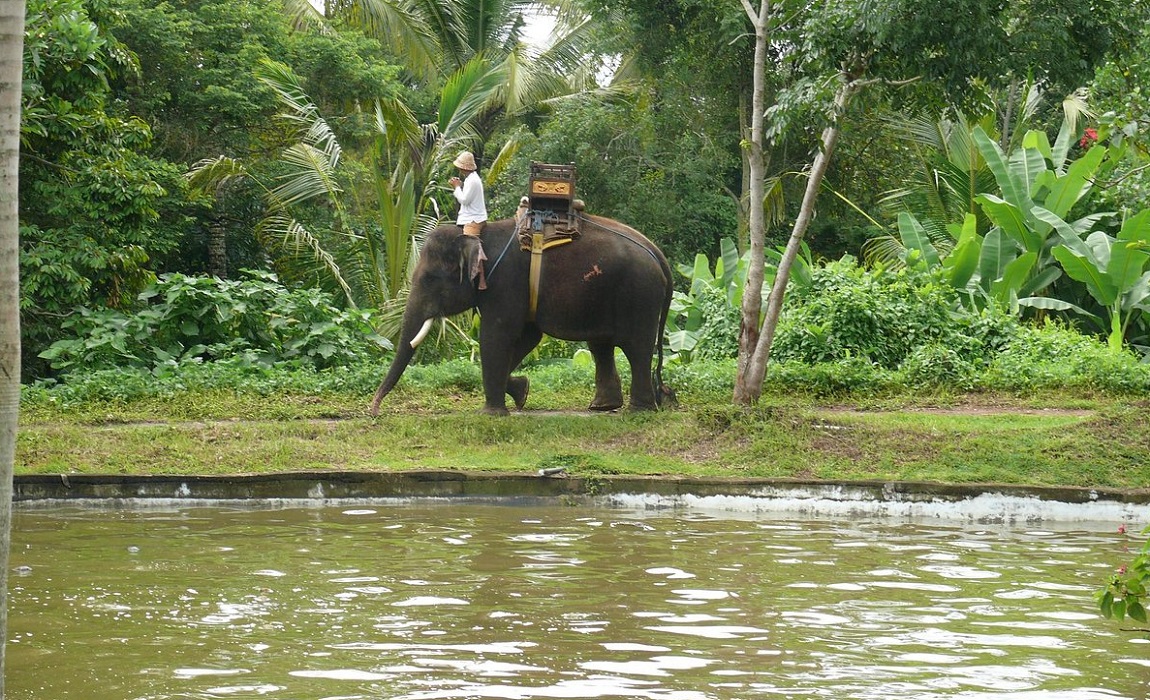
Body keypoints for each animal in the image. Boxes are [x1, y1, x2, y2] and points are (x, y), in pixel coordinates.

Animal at [368, 213, 671, 413]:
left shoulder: (505, 282)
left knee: (636, 347)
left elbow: (497, 335)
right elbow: (527, 337)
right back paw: (603, 407)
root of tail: (658, 254)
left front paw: (492, 414)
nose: (374, 411)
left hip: (639, 295)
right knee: (602, 345)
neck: (478, 235)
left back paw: (639, 410)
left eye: (429, 279)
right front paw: (522, 392)